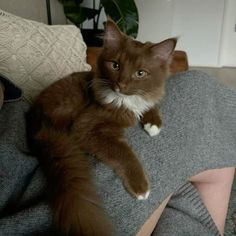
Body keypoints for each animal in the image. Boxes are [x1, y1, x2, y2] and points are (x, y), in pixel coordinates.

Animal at [26, 19, 176, 235]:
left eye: (140, 73)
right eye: (115, 65)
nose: (121, 85)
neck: (124, 100)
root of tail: (34, 121)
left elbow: (148, 102)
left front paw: (153, 123)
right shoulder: (87, 128)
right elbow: (123, 153)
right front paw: (141, 186)